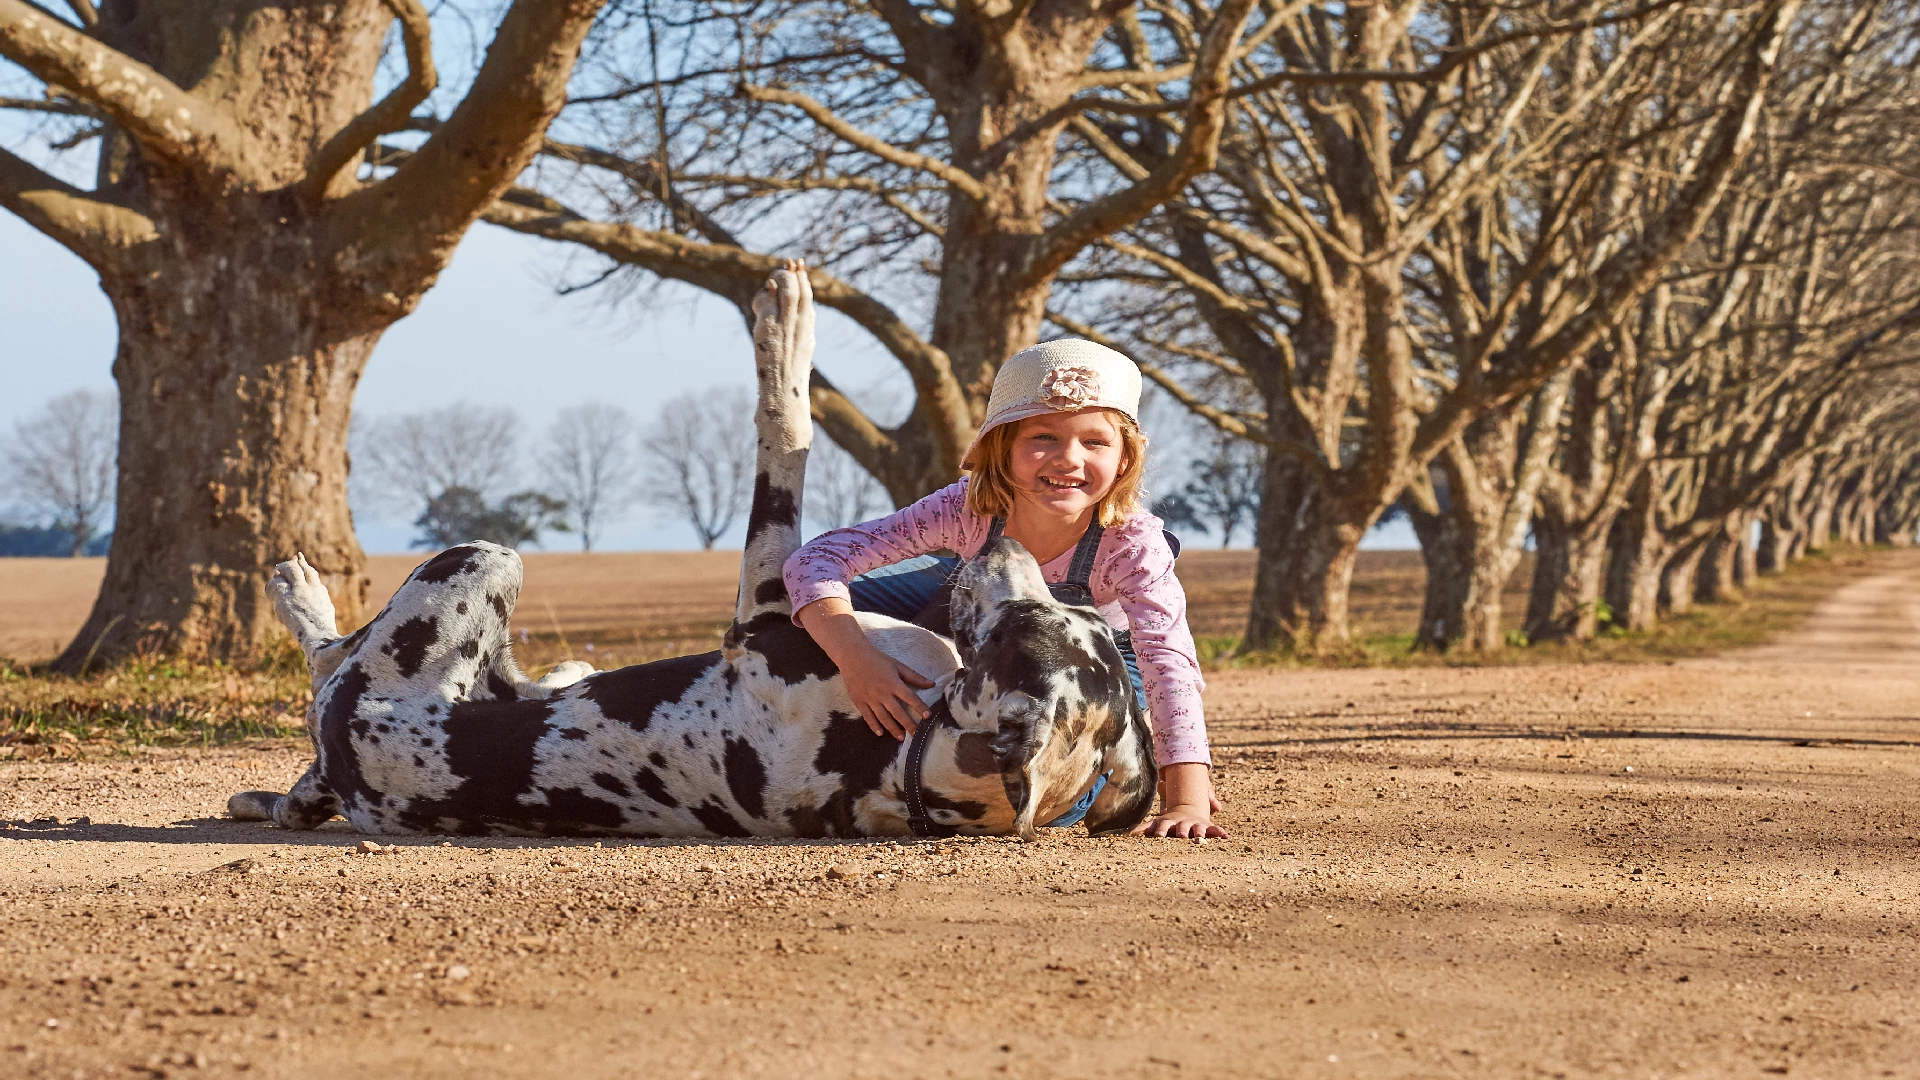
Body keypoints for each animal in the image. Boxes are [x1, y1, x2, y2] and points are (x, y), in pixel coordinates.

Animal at [224, 265, 1152, 837]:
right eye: (1047, 612)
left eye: (1017, 621)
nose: (1000, 543)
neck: (903, 763)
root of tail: (338, 766)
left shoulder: (763, 611)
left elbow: (786, 423)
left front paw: (786, 326)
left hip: (479, 559)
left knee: (329, 656)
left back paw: (297, 592)